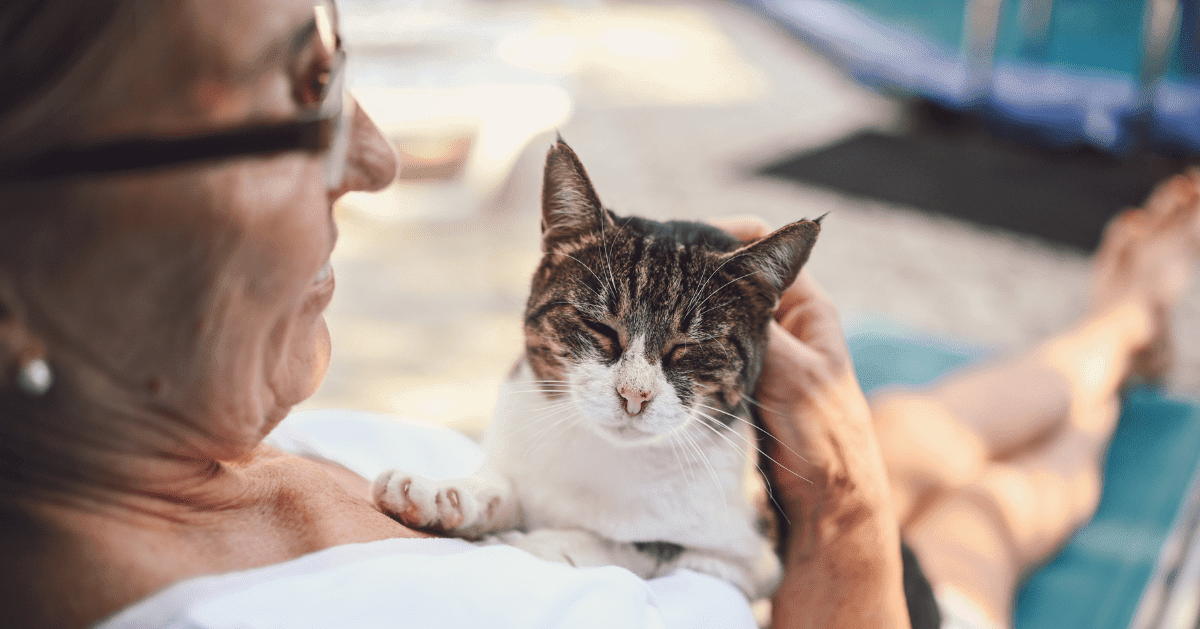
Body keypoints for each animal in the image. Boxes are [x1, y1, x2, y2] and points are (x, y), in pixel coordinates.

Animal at [379, 137, 820, 600]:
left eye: (689, 346)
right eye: (600, 326)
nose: (634, 395)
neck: (605, 455)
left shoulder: (750, 561)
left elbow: (639, 545)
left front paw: (531, 544)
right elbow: (505, 487)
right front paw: (442, 493)